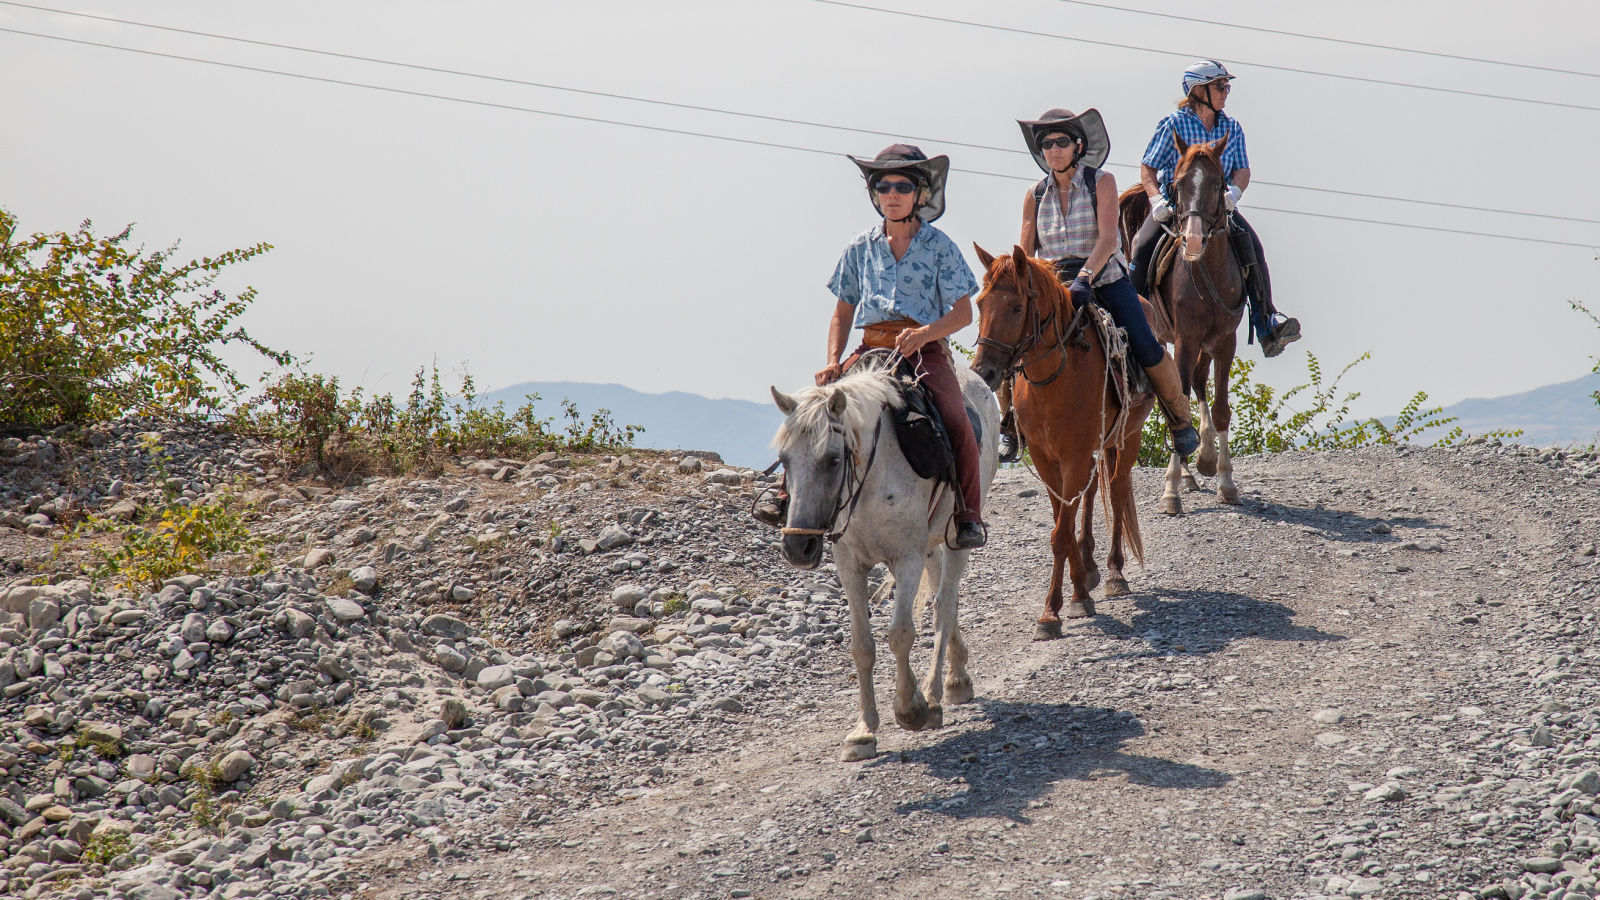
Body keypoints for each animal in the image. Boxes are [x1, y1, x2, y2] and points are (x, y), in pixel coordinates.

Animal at [768, 353, 992, 759]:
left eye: (833, 459)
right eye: (784, 459)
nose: (797, 547)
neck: (872, 480)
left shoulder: (906, 559)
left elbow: (900, 634)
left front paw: (911, 708)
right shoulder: (849, 564)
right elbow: (862, 646)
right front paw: (863, 732)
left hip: (956, 538)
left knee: (945, 605)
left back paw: (940, 691)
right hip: (930, 543)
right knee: (942, 595)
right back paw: (957, 678)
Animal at [960, 245, 1152, 637]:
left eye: (1017, 307)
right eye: (981, 303)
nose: (985, 371)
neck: (1054, 379)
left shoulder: (1074, 456)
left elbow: (1061, 531)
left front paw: (1054, 611)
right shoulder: (1046, 458)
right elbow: (1061, 522)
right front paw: (1077, 591)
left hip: (1127, 436)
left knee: (1118, 491)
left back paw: (1114, 572)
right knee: (1092, 493)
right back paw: (1092, 564)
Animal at [1120, 132, 1241, 512]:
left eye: (1219, 183)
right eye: (1179, 183)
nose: (1194, 239)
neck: (1205, 271)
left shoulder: (1225, 342)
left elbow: (1220, 409)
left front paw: (1226, 481)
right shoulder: (1185, 340)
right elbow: (1179, 403)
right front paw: (1170, 490)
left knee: (1199, 384)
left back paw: (1202, 460)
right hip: (1167, 340)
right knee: (1179, 395)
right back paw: (1188, 471)